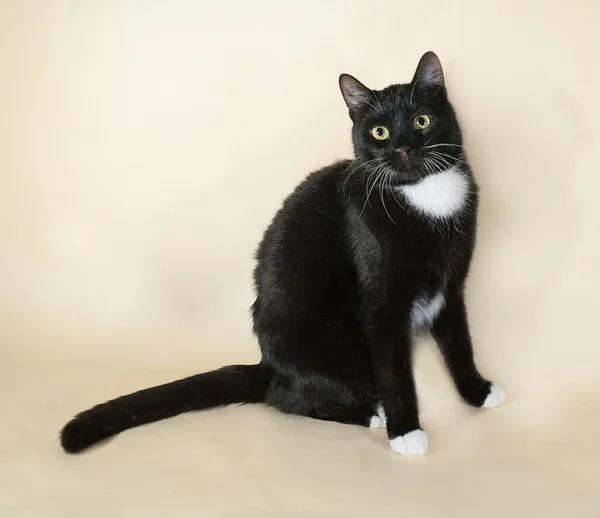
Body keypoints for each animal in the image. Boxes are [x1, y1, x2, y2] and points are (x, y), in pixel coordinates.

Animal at [61, 51, 504, 460]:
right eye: (379, 131)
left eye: (421, 122)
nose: (402, 149)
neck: (425, 196)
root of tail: (270, 368)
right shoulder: (382, 306)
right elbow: (395, 372)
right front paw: (406, 430)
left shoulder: (451, 284)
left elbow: (459, 342)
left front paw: (477, 391)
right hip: (334, 341)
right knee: (290, 401)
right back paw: (369, 414)